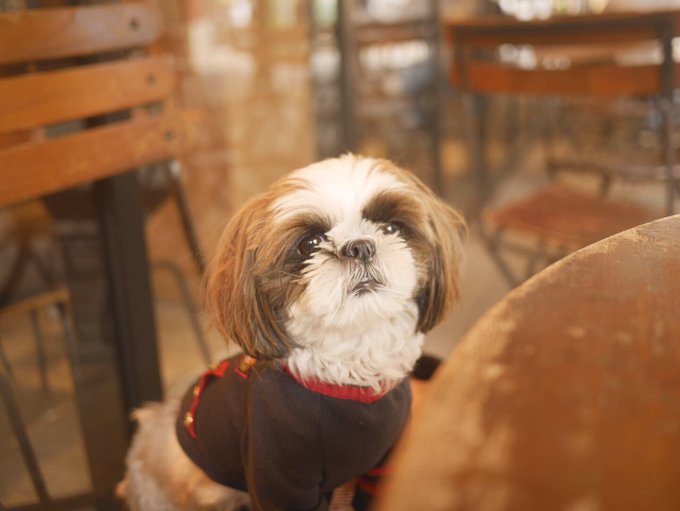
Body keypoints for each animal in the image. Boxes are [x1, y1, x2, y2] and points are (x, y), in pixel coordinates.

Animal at [118, 155, 465, 510]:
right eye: (310, 243)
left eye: (391, 228)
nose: (361, 247)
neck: (350, 374)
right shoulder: (279, 473)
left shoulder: (383, 468)